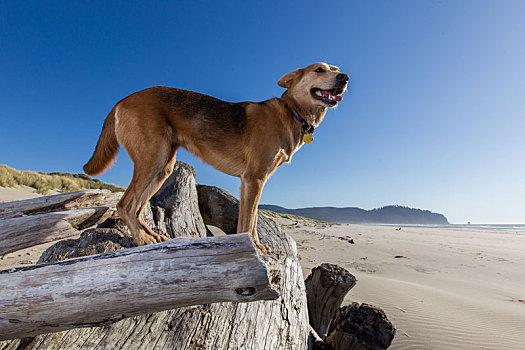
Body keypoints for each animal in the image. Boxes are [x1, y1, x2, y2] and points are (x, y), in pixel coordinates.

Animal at [83, 63, 348, 253]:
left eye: (335, 69)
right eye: (319, 69)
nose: (344, 77)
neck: (292, 112)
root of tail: (122, 100)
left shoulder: (251, 181)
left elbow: (249, 219)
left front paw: (253, 245)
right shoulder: (254, 178)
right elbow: (249, 220)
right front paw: (254, 248)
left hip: (163, 167)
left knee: (137, 208)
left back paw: (151, 235)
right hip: (153, 159)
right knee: (125, 205)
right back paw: (141, 239)